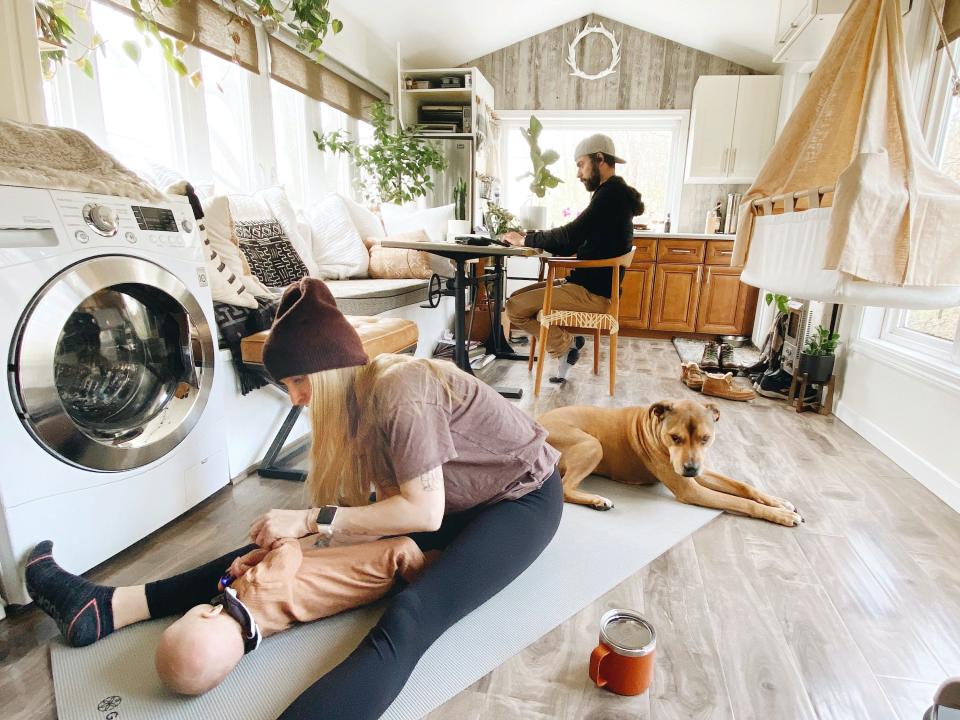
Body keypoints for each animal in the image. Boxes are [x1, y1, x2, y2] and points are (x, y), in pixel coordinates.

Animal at [540, 400, 804, 528]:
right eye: (675, 438)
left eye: (705, 438)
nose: (690, 469)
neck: (655, 428)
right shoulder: (691, 489)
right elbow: (741, 502)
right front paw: (781, 515)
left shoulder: (701, 472)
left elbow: (743, 486)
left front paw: (780, 502)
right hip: (592, 445)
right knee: (566, 489)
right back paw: (597, 500)